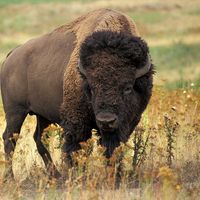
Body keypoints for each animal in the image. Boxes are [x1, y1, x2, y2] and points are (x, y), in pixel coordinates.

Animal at [0, 8, 153, 179]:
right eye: (91, 88)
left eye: (127, 88)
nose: (106, 120)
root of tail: (12, 55)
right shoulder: (77, 123)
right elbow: (77, 149)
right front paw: (77, 174)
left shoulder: (126, 123)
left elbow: (112, 148)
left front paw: (114, 175)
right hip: (15, 111)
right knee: (10, 138)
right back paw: (10, 177)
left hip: (42, 115)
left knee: (39, 138)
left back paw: (56, 175)